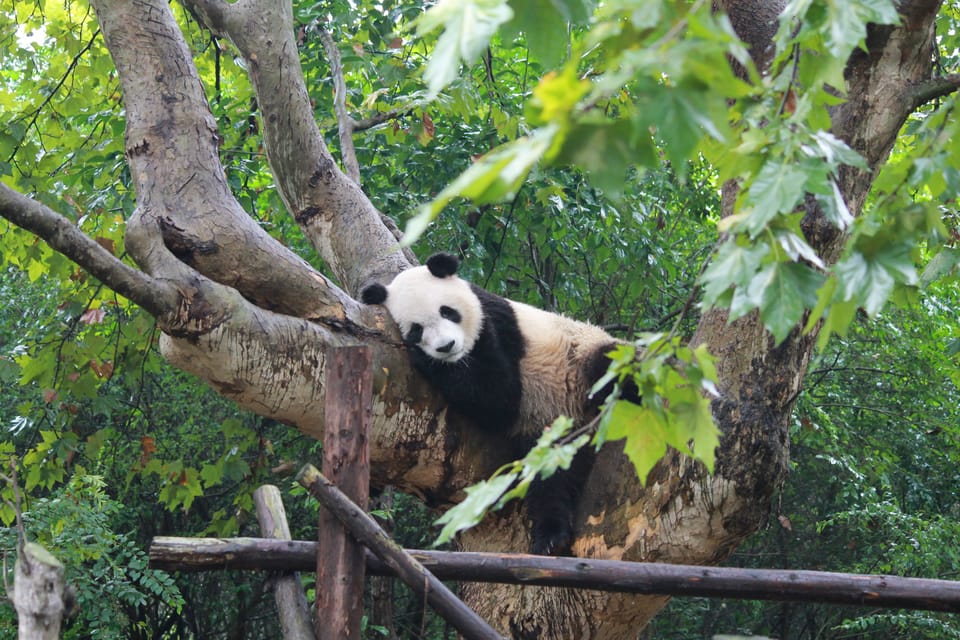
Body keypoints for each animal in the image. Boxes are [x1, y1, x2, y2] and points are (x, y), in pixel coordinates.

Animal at [364, 252, 628, 556]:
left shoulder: (495, 325)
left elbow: (499, 397)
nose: (446, 346)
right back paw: (551, 537)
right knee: (550, 479)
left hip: (582, 358)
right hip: (553, 428)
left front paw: (428, 361)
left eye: (447, 311)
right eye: (416, 330)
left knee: (612, 366)